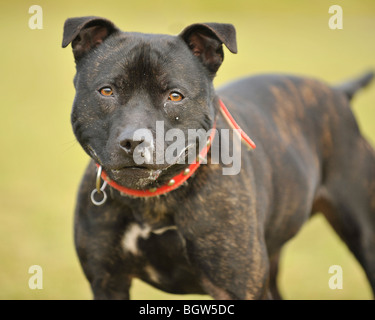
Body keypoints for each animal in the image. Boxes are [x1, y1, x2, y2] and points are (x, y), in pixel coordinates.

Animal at [63, 16, 374, 298]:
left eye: (175, 96)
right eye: (107, 91)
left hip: (364, 236)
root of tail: (337, 92)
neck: (152, 200)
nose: (133, 141)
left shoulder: (236, 288)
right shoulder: (107, 282)